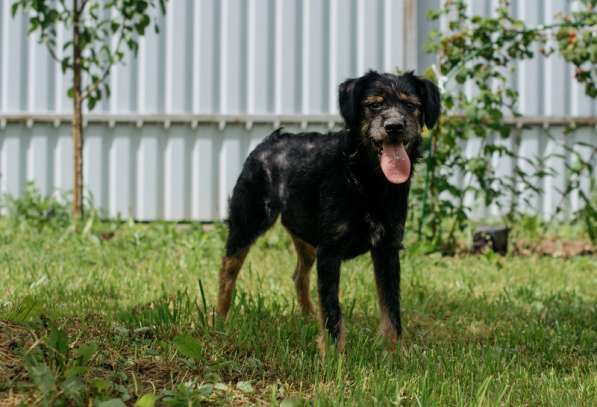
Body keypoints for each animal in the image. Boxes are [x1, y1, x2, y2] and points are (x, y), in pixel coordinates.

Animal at [214, 71, 438, 354]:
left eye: (410, 104)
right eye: (374, 105)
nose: (394, 126)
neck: (366, 180)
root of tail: (271, 139)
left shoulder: (387, 247)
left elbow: (391, 305)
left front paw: (394, 351)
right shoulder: (330, 251)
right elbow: (332, 308)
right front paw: (333, 354)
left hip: (306, 236)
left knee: (299, 275)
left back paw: (309, 318)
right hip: (248, 221)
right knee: (227, 272)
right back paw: (218, 322)